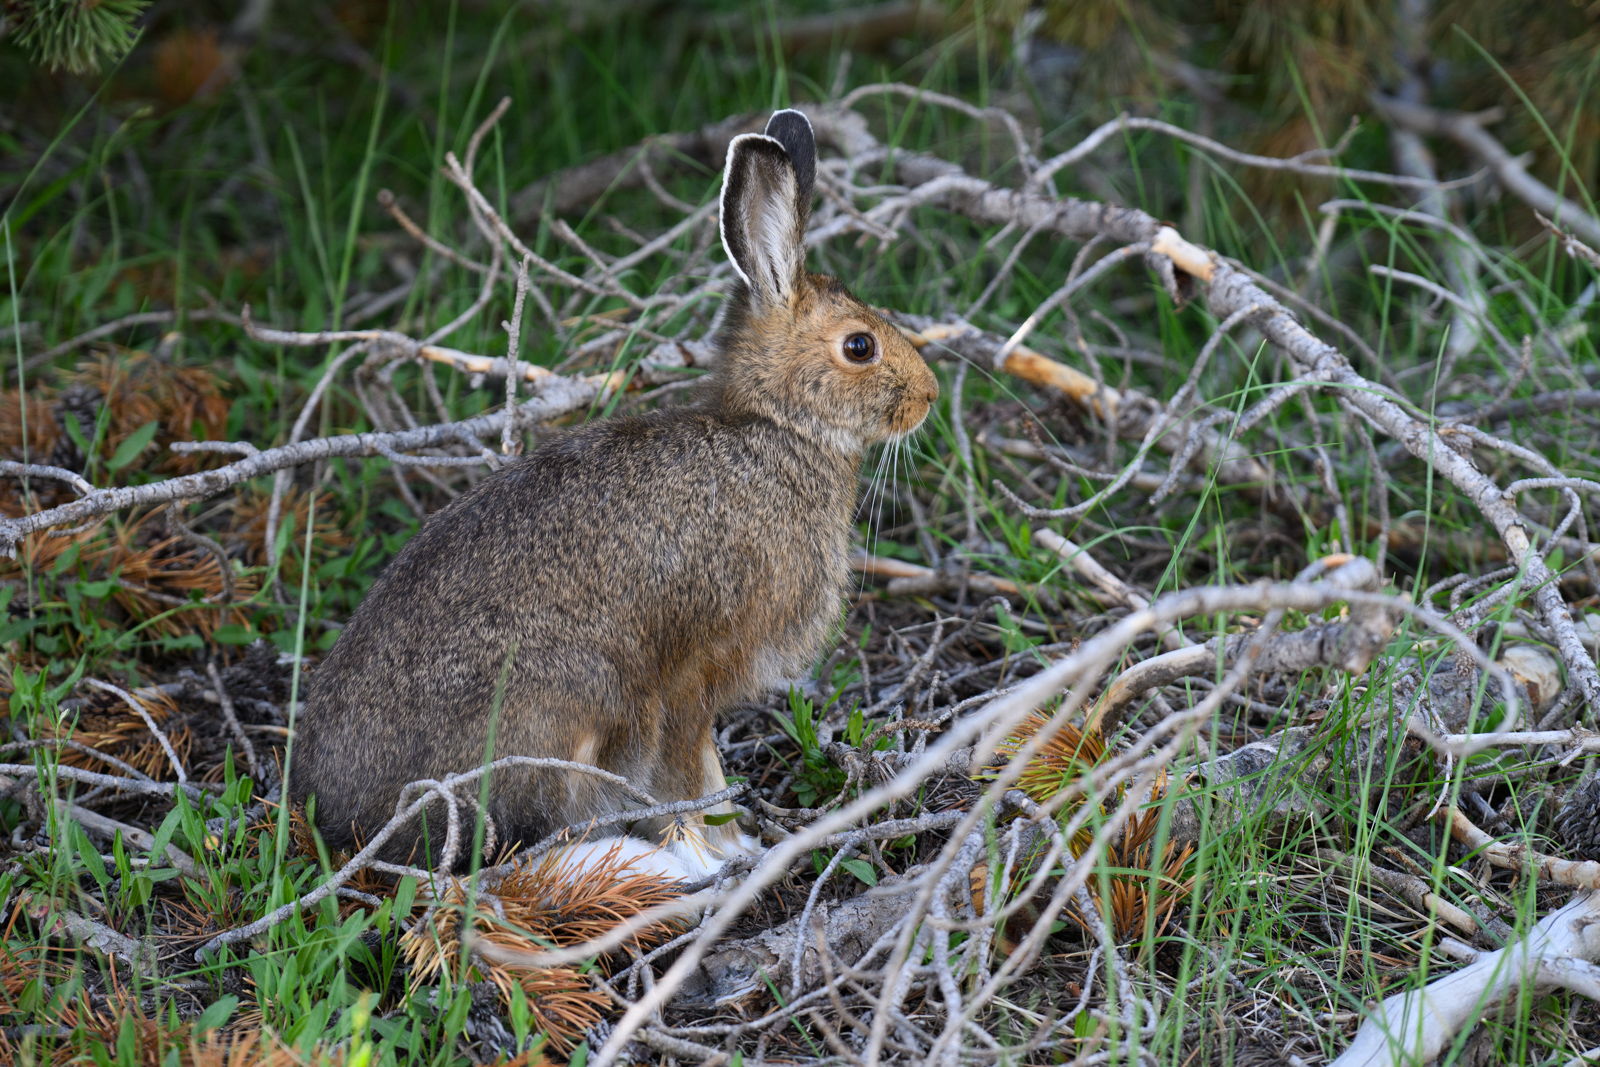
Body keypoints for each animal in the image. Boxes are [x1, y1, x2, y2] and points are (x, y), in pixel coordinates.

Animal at [288, 109, 940, 881]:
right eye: (860, 346)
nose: (929, 396)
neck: (779, 427)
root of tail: (341, 817)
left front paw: (738, 846)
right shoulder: (691, 671)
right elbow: (692, 771)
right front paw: (719, 852)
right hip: (566, 706)